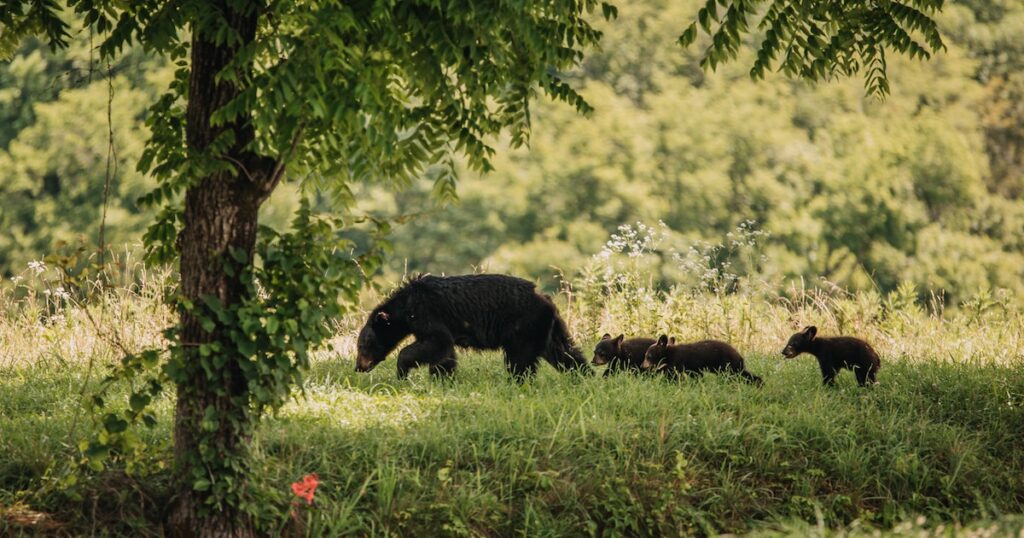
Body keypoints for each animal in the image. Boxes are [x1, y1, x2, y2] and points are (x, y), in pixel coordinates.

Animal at [354, 274, 589, 379]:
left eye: (362, 346)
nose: (358, 367)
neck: (406, 306)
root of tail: (546, 298)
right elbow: (444, 353)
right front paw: (443, 378)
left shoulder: (427, 313)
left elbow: (436, 341)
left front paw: (402, 371)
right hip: (548, 327)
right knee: (564, 352)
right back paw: (583, 375)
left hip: (523, 326)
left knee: (520, 360)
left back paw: (517, 381)